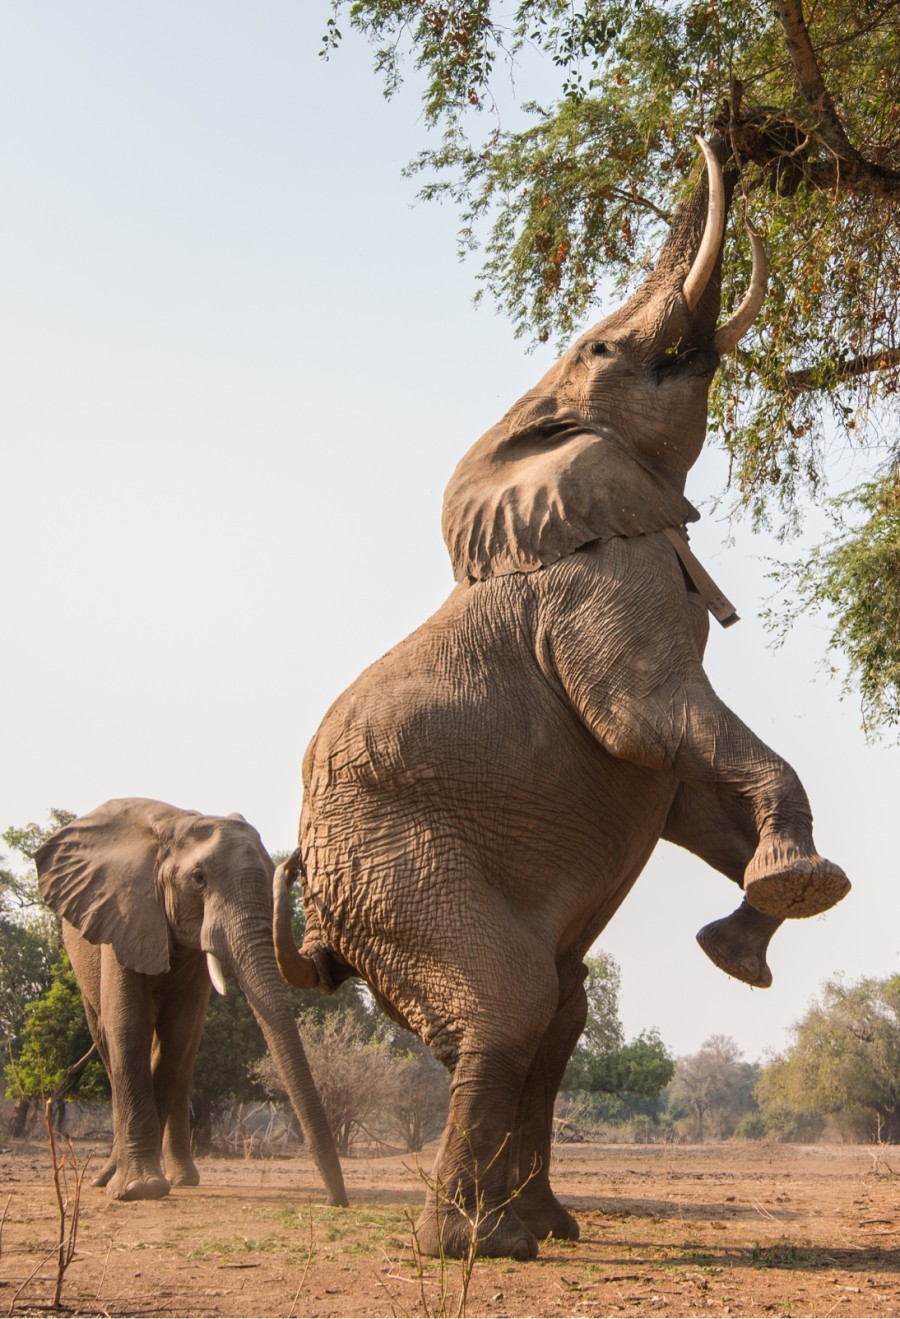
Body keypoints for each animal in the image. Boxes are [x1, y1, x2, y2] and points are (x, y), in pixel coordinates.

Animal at [34, 791, 345, 1208]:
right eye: (199, 880)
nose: (335, 1201)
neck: (176, 826)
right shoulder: (125, 911)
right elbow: (127, 1027)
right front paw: (136, 1189)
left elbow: (177, 1036)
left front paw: (140, 1184)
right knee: (107, 1040)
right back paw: (115, 1176)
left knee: (182, 1056)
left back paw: (179, 1178)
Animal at [273, 139, 849, 1260]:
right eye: (603, 345)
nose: (721, 135)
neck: (536, 431)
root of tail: (315, 919)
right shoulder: (603, 592)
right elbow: (651, 719)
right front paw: (800, 887)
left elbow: (681, 788)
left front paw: (750, 931)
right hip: (394, 868)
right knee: (512, 1002)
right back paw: (472, 1247)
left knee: (556, 1014)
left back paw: (540, 1227)